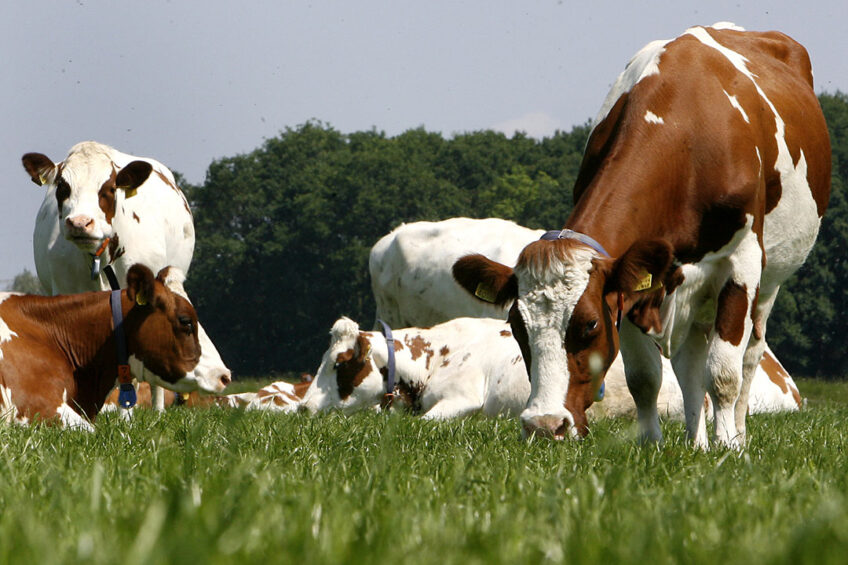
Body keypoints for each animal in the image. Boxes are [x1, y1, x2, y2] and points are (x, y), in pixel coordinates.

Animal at [454, 24, 832, 448]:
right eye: (517, 326)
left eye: (590, 325)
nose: (544, 426)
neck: (687, 136)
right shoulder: (632, 280)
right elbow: (645, 378)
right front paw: (652, 446)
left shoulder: (742, 261)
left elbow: (723, 374)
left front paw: (727, 447)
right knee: (690, 362)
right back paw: (696, 442)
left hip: (770, 282)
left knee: (749, 356)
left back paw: (735, 436)